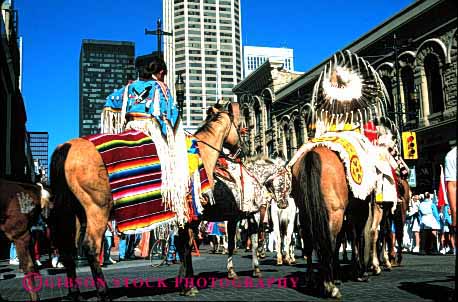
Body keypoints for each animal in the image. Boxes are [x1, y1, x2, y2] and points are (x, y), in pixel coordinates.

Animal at [49, 104, 243, 300]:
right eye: (239, 125)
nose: (241, 150)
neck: (201, 153)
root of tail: (65, 147)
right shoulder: (192, 216)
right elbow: (186, 246)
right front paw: (189, 286)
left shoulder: (181, 218)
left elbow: (181, 246)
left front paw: (183, 284)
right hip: (97, 210)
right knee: (90, 247)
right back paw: (104, 293)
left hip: (73, 213)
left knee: (68, 249)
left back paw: (75, 294)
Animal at [292, 147, 374, 298]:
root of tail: (312, 154)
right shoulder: (360, 209)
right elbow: (358, 237)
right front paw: (360, 271)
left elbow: (344, 239)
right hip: (335, 212)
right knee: (328, 242)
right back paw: (330, 286)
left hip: (306, 214)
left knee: (310, 243)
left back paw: (312, 279)